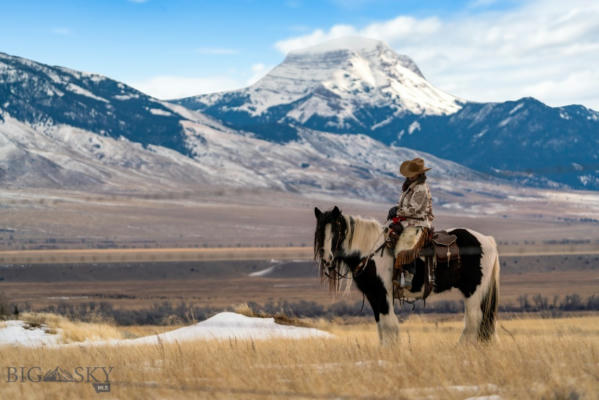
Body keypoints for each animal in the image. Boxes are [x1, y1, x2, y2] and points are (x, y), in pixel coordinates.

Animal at [314, 206, 502, 344]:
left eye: (337, 230)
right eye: (320, 231)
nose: (326, 257)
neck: (371, 251)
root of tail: (487, 240)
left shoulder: (383, 293)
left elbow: (389, 325)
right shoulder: (373, 294)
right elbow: (381, 326)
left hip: (474, 290)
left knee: (474, 319)